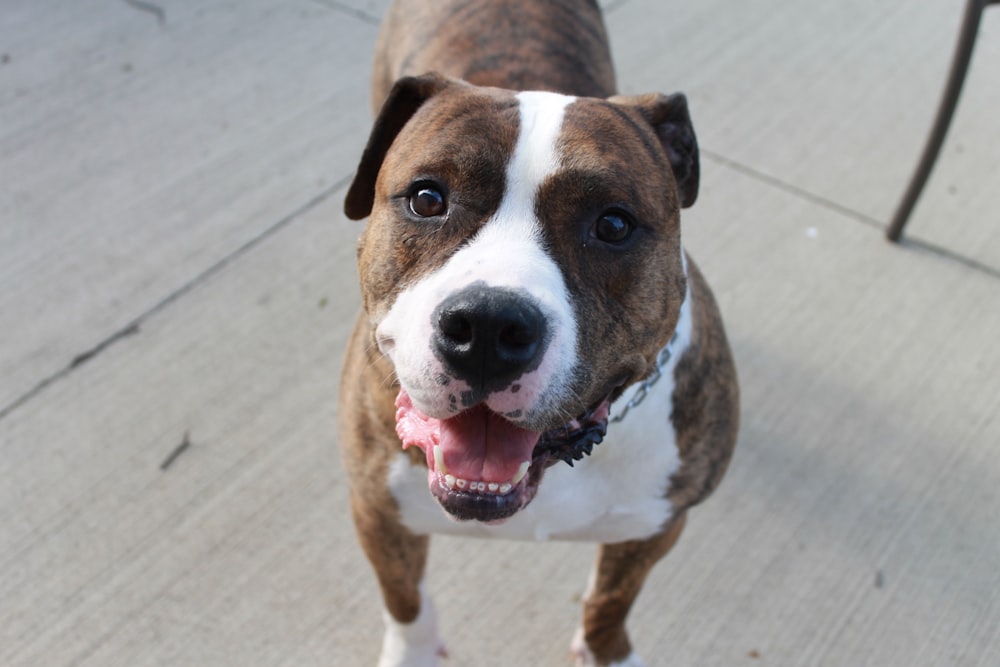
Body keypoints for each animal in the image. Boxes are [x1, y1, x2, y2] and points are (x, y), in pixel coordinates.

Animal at [340, 2, 740, 664]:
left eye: (613, 224)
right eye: (427, 198)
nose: (486, 326)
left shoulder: (655, 526)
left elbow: (610, 604)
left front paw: (606, 651)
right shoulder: (377, 510)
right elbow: (405, 599)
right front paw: (412, 650)